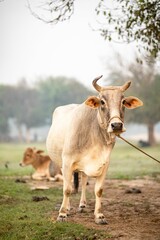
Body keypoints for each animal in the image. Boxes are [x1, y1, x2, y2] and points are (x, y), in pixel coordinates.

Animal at [46, 76, 142, 224]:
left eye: (123, 101)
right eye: (102, 102)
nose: (116, 125)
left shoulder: (104, 164)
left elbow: (98, 190)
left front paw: (99, 215)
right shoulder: (67, 162)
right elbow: (67, 189)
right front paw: (62, 213)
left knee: (84, 180)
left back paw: (82, 205)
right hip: (62, 163)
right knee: (67, 184)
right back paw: (68, 207)